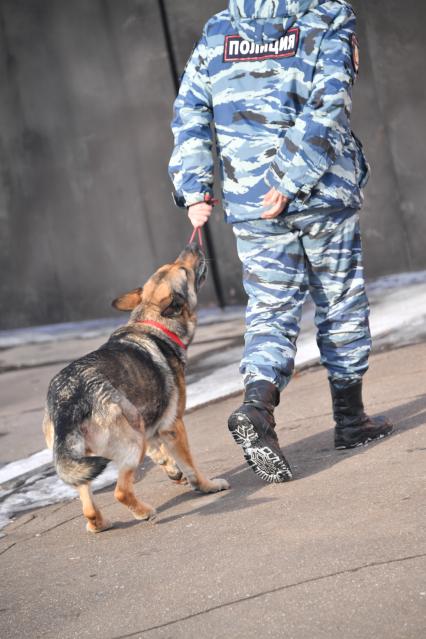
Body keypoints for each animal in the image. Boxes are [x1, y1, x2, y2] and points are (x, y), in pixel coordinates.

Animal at [43, 246, 230, 536]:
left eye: (174, 264)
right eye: (184, 271)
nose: (193, 248)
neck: (152, 322)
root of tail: (68, 398)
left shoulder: (150, 423)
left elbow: (162, 454)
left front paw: (172, 470)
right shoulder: (174, 426)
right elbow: (191, 466)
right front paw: (206, 486)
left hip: (91, 454)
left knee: (88, 505)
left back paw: (99, 523)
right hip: (132, 442)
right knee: (120, 492)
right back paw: (144, 512)